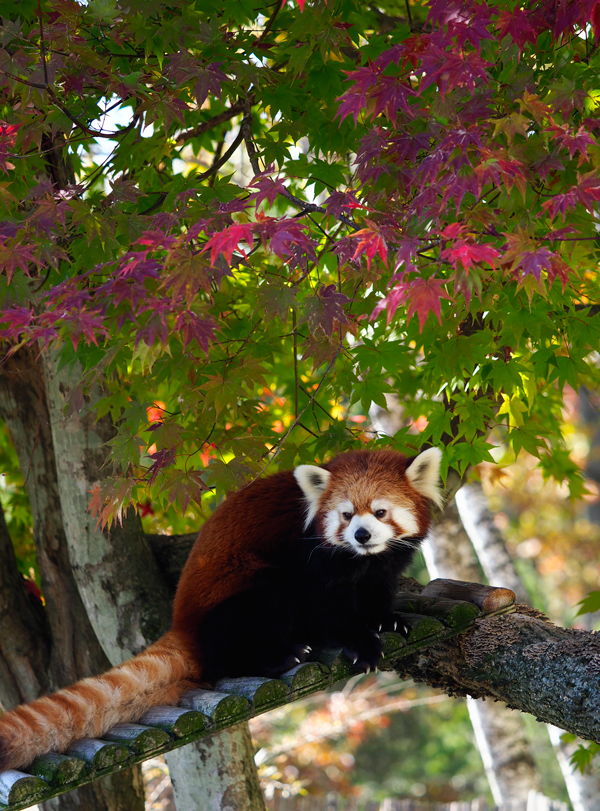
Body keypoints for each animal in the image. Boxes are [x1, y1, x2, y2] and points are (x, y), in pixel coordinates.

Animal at [0, 448, 440, 772]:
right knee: (246, 623)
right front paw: (361, 642)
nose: (361, 535)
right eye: (346, 514)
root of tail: (183, 620)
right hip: (240, 588)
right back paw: (279, 656)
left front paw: (386, 619)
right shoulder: (310, 556)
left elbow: (378, 588)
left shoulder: (382, 563)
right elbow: (326, 608)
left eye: (380, 512)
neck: (360, 559)